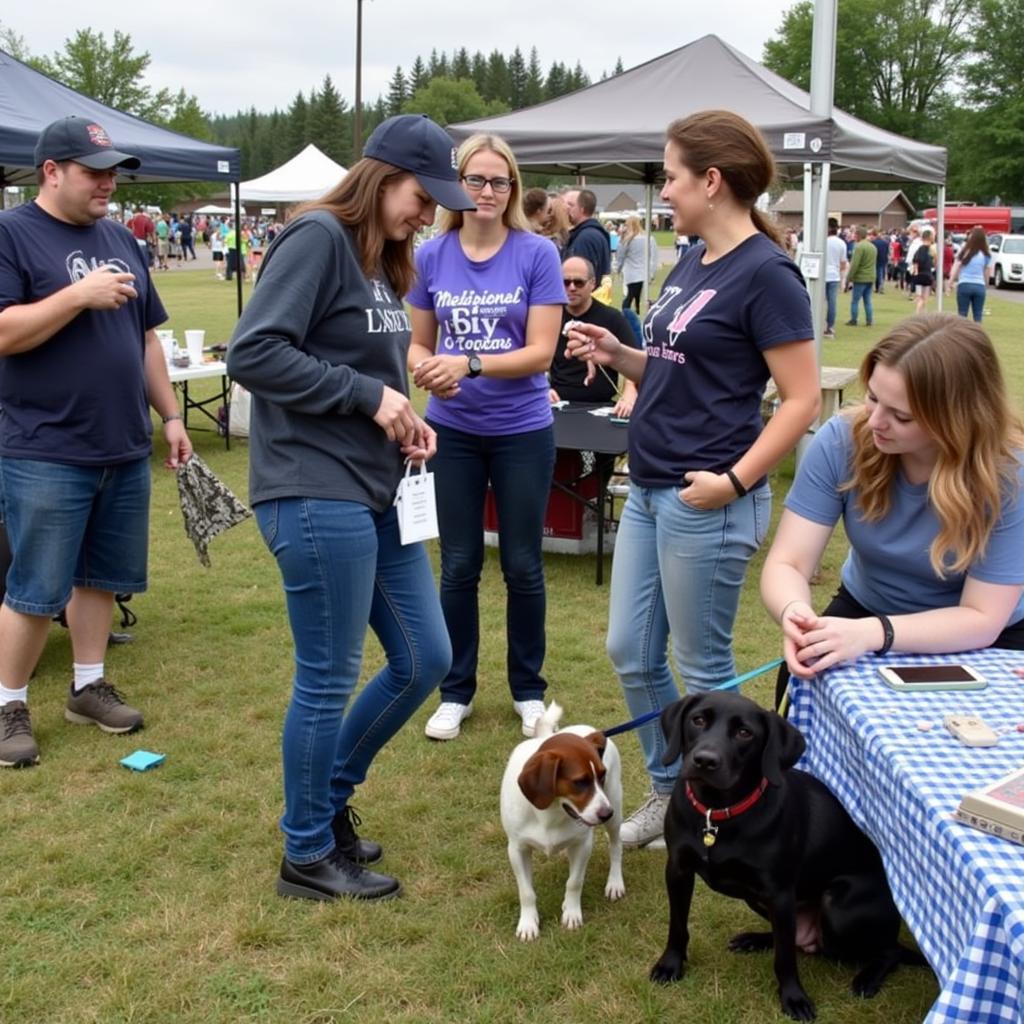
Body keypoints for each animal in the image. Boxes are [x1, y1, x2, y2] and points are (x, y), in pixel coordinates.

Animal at [497, 704, 622, 942]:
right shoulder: (517, 849)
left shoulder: (583, 844)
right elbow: (526, 892)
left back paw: (615, 882)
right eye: (579, 782)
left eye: (602, 775)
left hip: (616, 808)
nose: (606, 813)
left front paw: (571, 913)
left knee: (616, 846)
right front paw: (528, 923)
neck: (551, 813)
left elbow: (574, 882)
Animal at [651, 692, 925, 1019]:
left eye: (745, 733)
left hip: (837, 907)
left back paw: (867, 978)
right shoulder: (678, 870)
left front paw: (794, 998)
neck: (716, 815)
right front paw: (670, 965)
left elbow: (784, 960)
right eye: (698, 720)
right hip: (757, 898)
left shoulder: (779, 892)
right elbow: (677, 926)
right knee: (792, 939)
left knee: (889, 950)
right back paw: (754, 940)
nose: (705, 760)